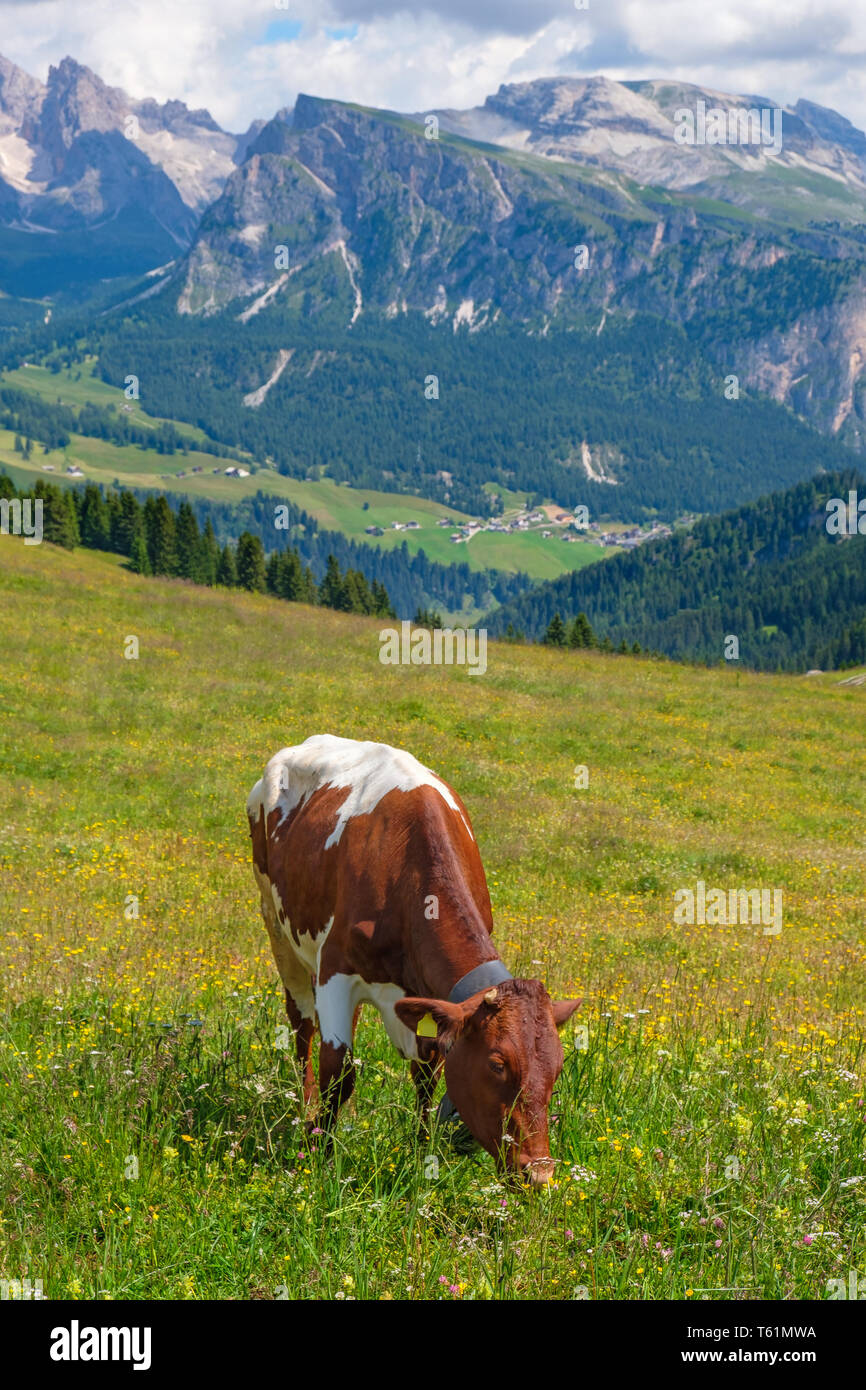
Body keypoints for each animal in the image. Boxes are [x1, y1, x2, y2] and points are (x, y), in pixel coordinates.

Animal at [247, 734, 579, 1184]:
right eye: (497, 1064)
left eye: (557, 1068)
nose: (539, 1174)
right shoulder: (335, 971)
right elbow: (339, 1069)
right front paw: (321, 1155)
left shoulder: (431, 1003)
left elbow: (428, 1074)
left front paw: (423, 1152)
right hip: (278, 928)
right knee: (302, 1026)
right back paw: (306, 1108)